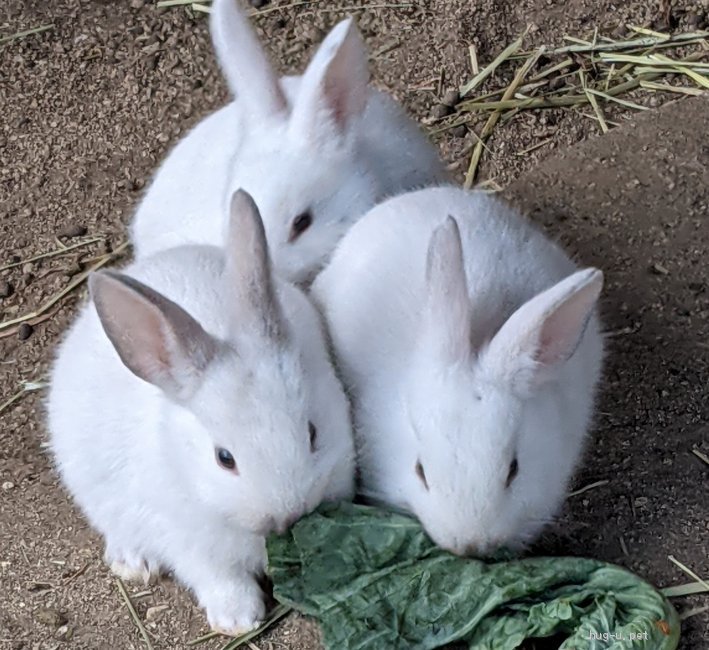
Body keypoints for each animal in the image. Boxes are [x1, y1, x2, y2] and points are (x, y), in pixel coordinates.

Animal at [47, 190, 354, 636]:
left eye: (313, 432)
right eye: (224, 459)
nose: (288, 516)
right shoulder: (190, 544)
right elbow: (218, 578)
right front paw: (238, 619)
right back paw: (132, 562)